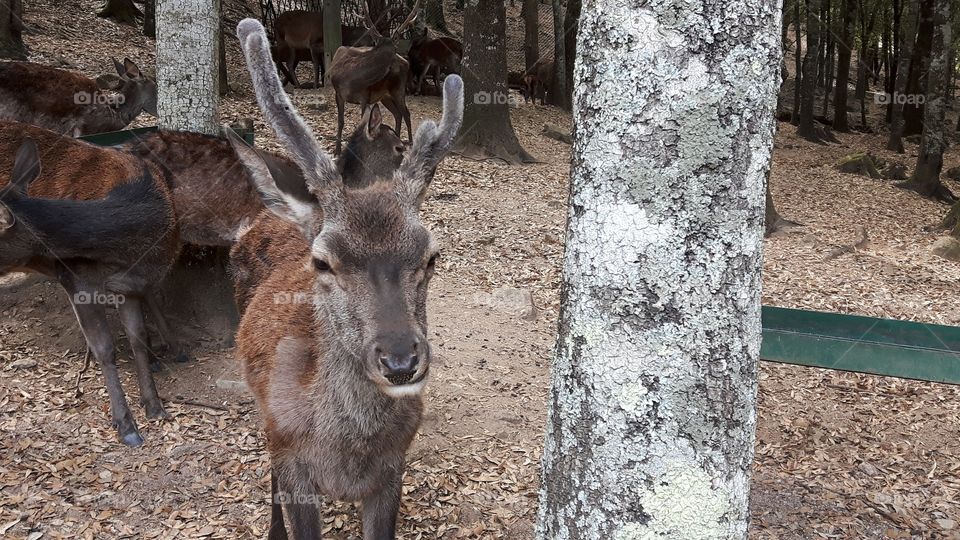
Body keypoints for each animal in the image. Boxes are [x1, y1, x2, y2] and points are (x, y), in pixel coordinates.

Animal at [0, 127, 184, 447]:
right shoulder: (75, 279)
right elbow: (105, 348)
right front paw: (127, 427)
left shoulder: (128, 286)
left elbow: (137, 337)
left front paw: (155, 407)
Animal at [228, 18, 462, 538]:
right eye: (322, 262)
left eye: (431, 256)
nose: (400, 361)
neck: (347, 452)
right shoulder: (291, 458)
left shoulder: (392, 471)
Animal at [329, 0, 421, 154]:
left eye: (394, 48)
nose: (399, 61)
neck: (350, 78)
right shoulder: (338, 93)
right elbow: (340, 121)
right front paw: (337, 150)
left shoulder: (364, 96)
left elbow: (362, 124)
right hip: (384, 96)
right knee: (397, 114)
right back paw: (397, 139)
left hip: (398, 89)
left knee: (406, 113)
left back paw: (411, 143)